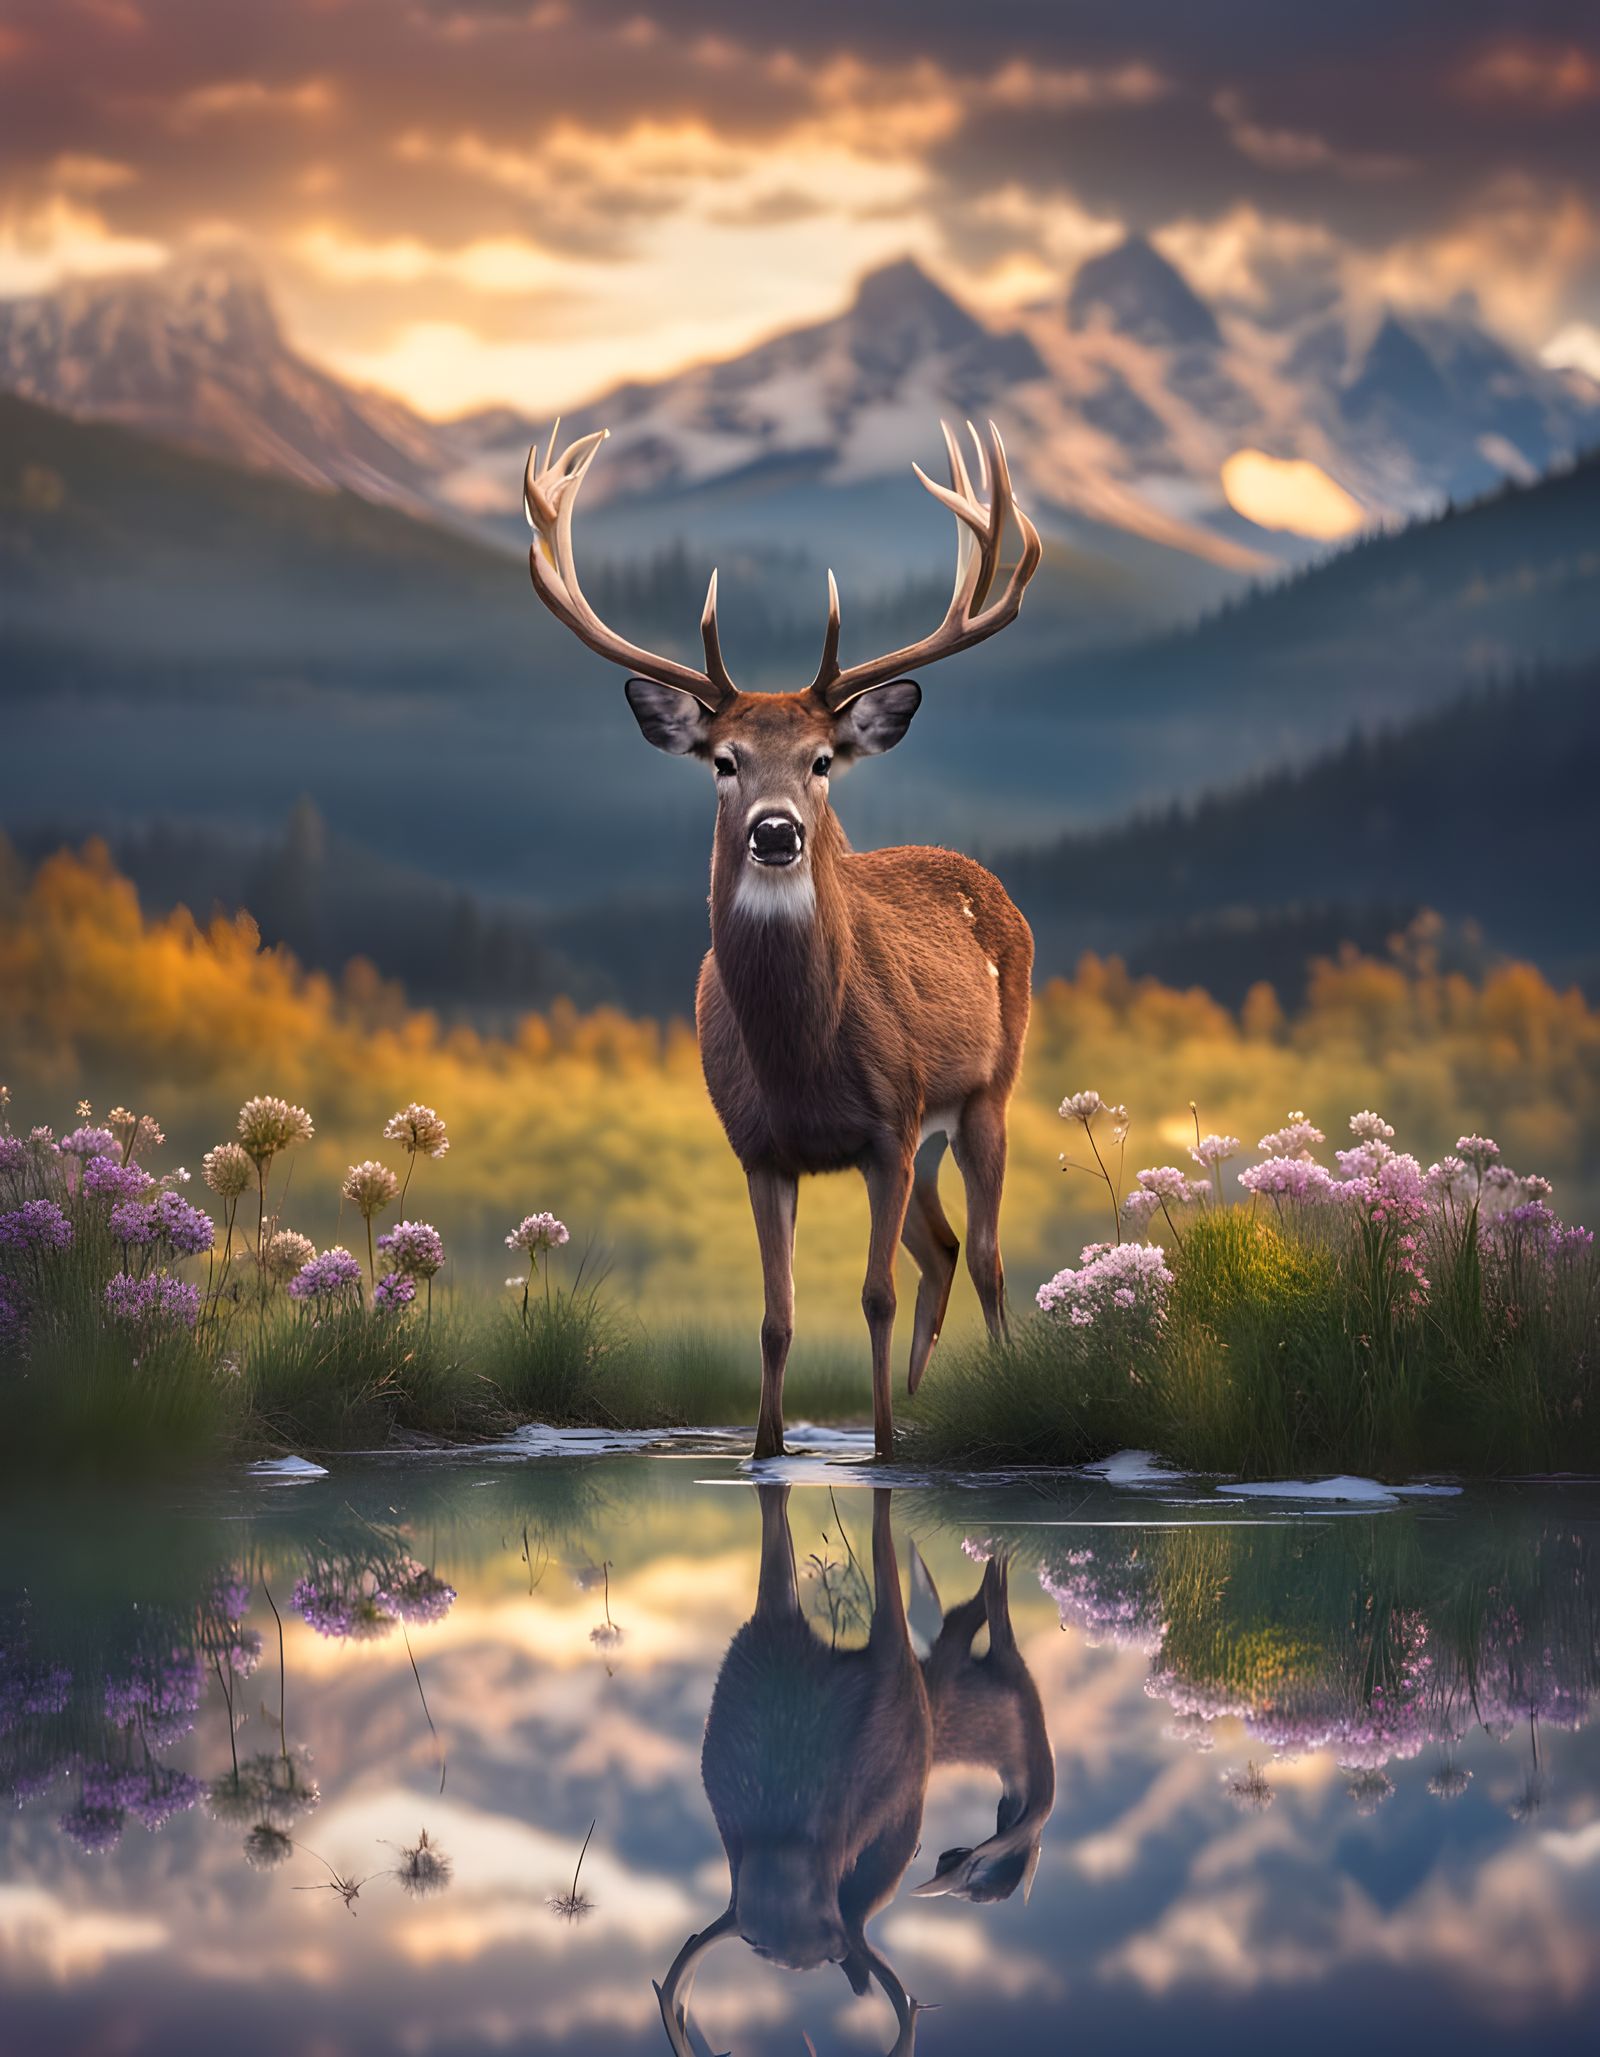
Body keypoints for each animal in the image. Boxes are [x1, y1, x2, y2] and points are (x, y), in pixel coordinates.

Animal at [524, 418, 1042, 1459]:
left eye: (821, 760)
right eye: (723, 760)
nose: (776, 831)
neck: (802, 1058)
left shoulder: (888, 1124)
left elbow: (874, 1296)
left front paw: (882, 1451)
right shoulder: (757, 1144)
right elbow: (776, 1315)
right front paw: (769, 1450)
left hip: (981, 1095)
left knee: (989, 1254)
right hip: (932, 1135)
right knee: (945, 1248)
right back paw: (922, 1393)